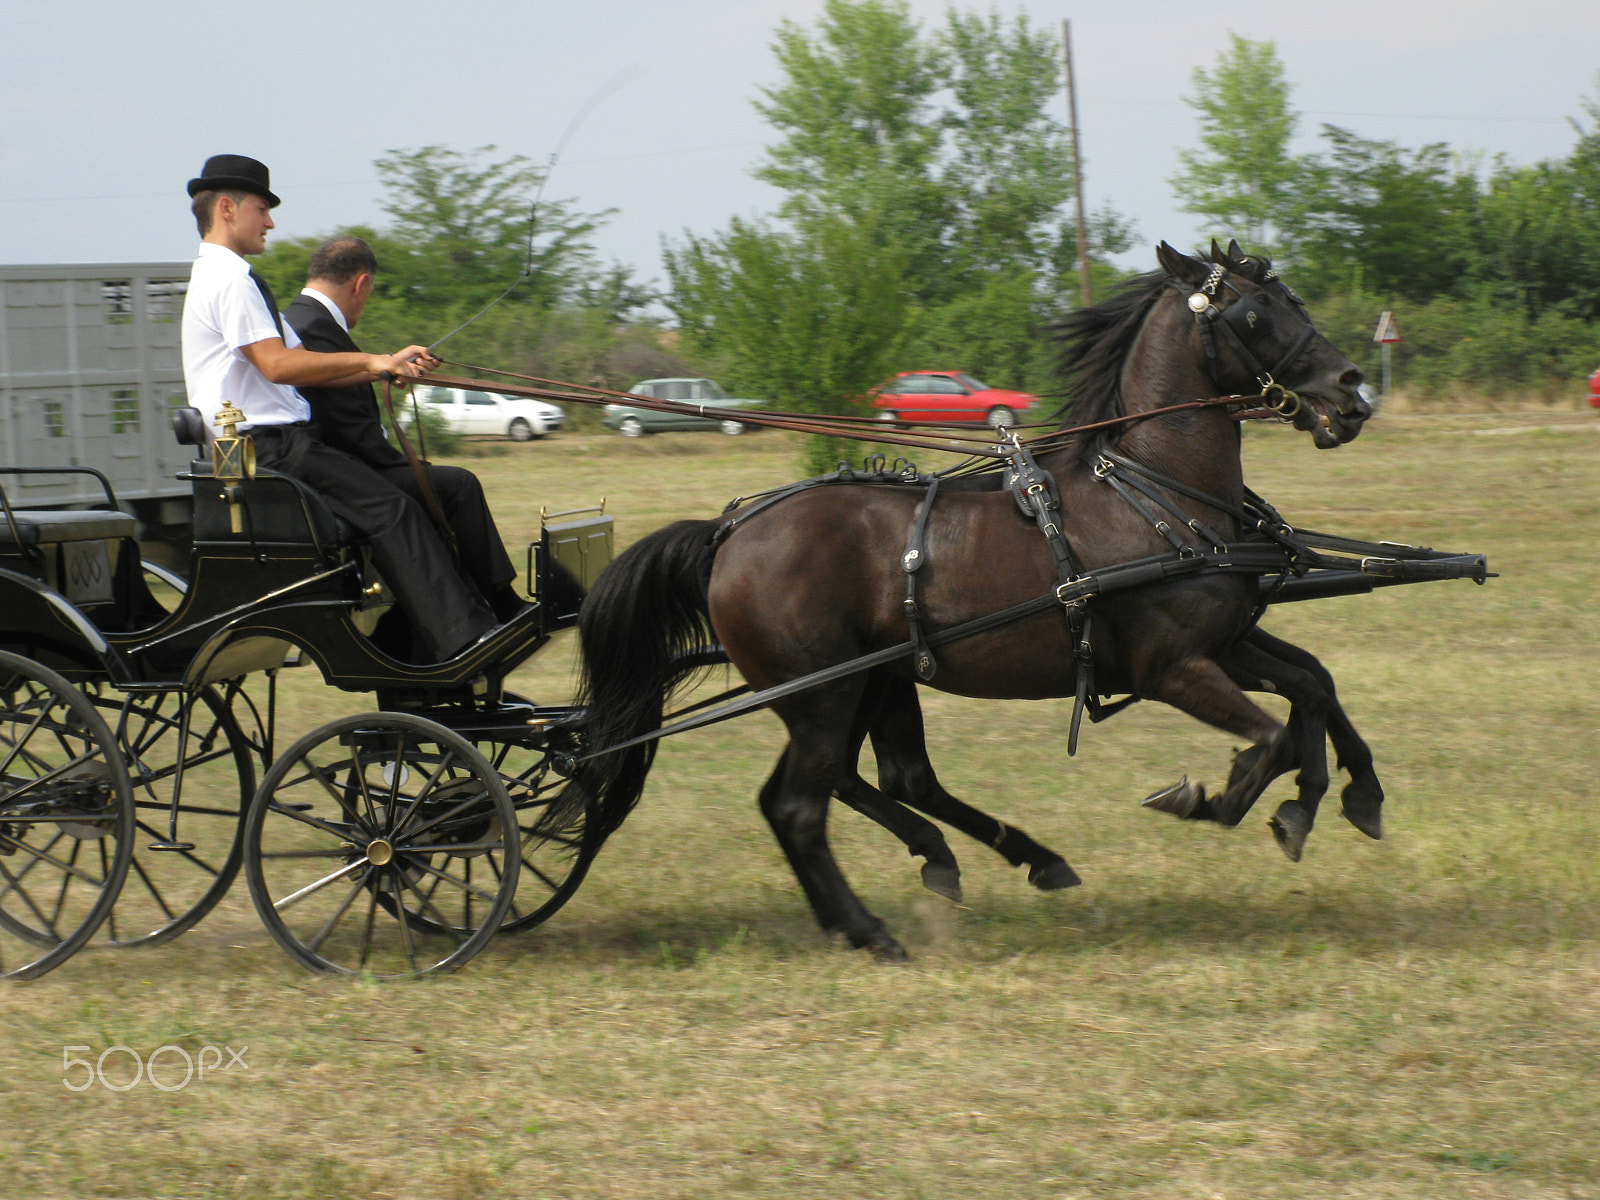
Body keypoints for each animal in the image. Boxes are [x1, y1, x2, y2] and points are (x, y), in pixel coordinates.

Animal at [569, 240, 1369, 966]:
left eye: (1292, 300)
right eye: (1255, 313)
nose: (1352, 388)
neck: (1149, 492)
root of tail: (728, 533)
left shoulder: (1224, 644)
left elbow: (1313, 685)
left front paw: (1328, 796)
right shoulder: (1171, 668)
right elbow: (1269, 737)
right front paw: (1212, 800)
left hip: (866, 683)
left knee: (866, 783)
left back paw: (971, 868)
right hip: (825, 694)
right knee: (804, 806)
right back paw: (875, 929)